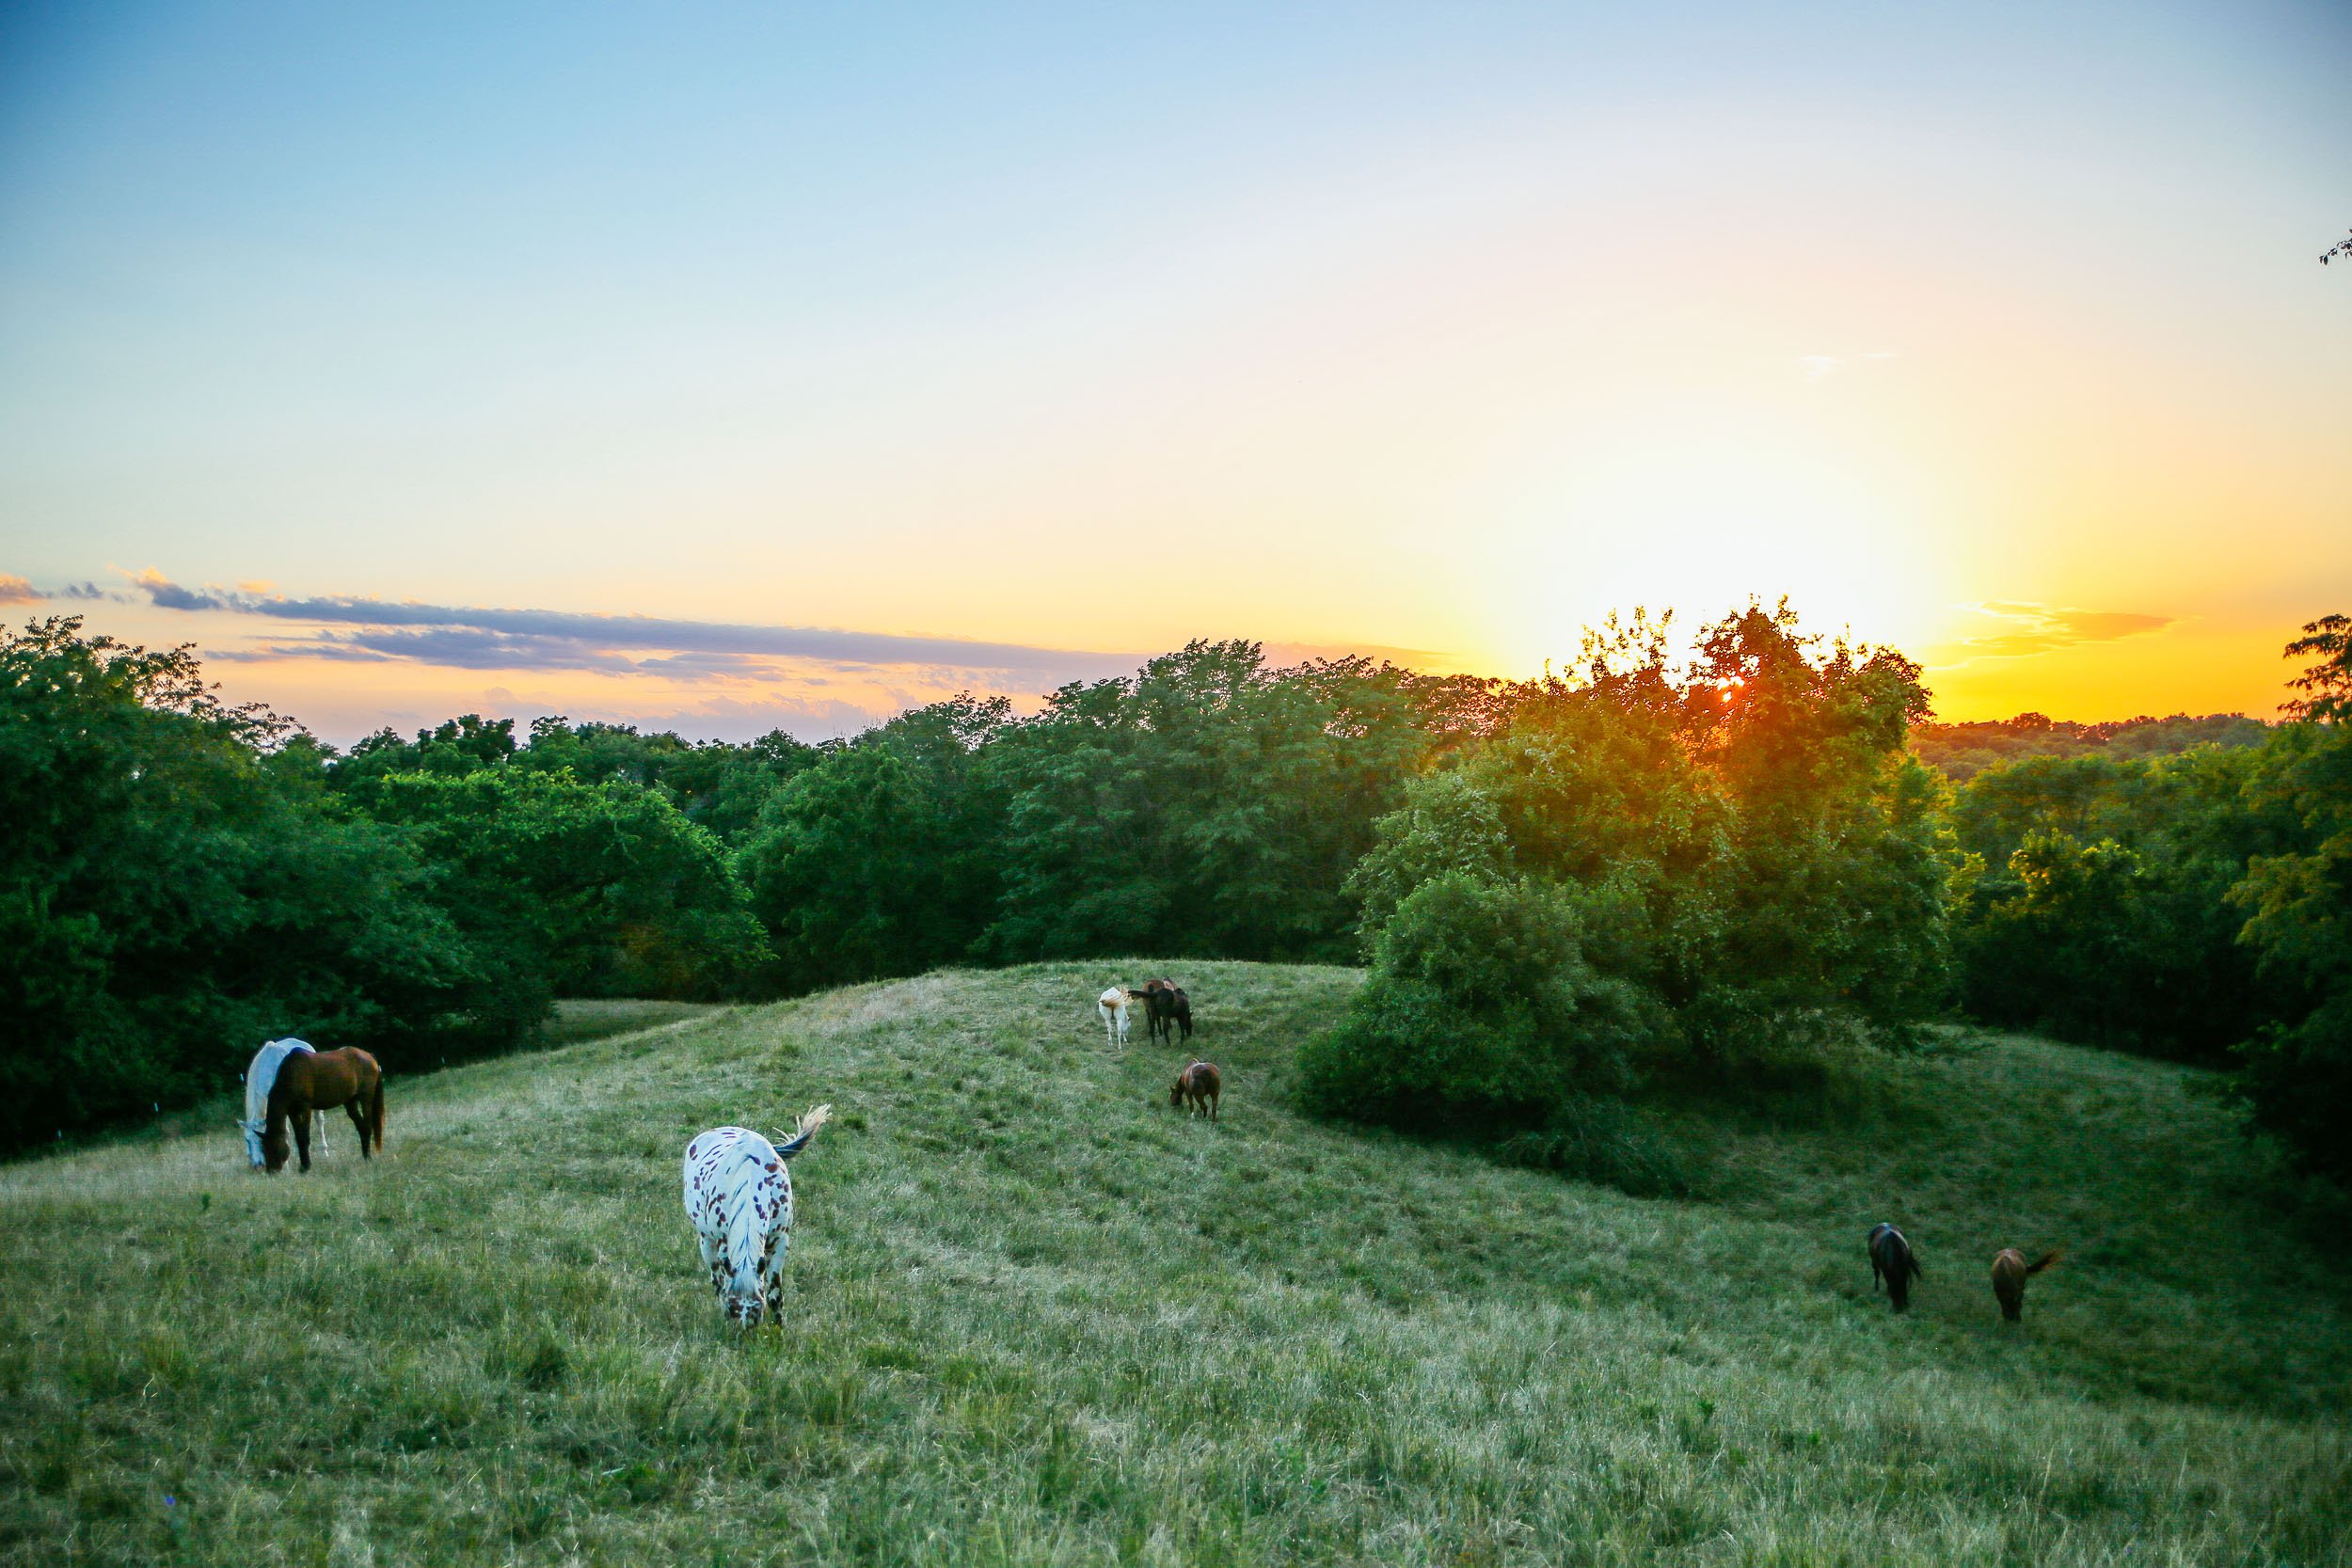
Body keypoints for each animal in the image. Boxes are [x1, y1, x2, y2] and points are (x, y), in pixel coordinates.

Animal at [687, 1109, 833, 1335]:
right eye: (732, 1309)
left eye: (758, 1309)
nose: (744, 1335)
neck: (750, 1179)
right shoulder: (724, 1244)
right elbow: (724, 1285)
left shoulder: (779, 1242)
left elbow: (775, 1293)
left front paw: (779, 1329)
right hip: (706, 1242)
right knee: (716, 1280)